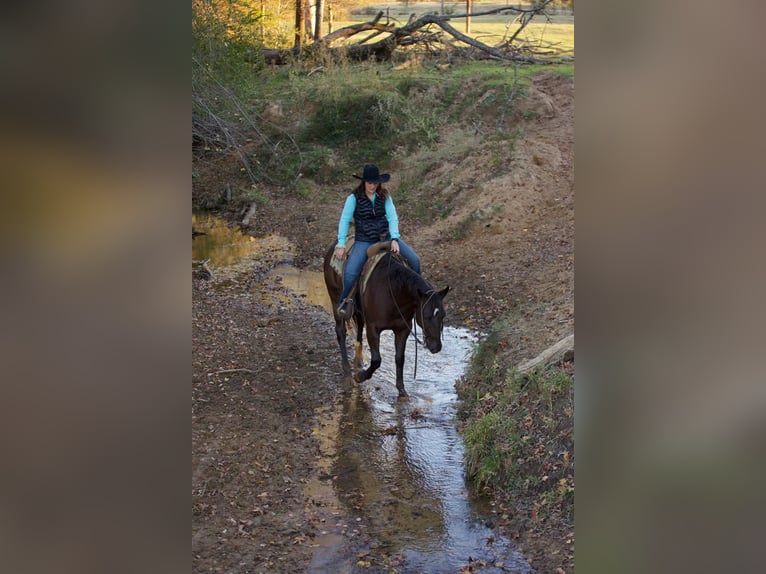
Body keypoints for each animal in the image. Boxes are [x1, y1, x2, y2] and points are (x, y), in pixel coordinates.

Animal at [322, 241, 450, 398]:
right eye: (426, 316)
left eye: (443, 315)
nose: (436, 347)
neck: (393, 291)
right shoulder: (373, 329)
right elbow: (376, 360)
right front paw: (360, 377)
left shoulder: (402, 330)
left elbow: (400, 358)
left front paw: (401, 390)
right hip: (335, 300)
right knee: (341, 331)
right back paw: (347, 372)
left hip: (358, 310)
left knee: (359, 329)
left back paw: (358, 362)